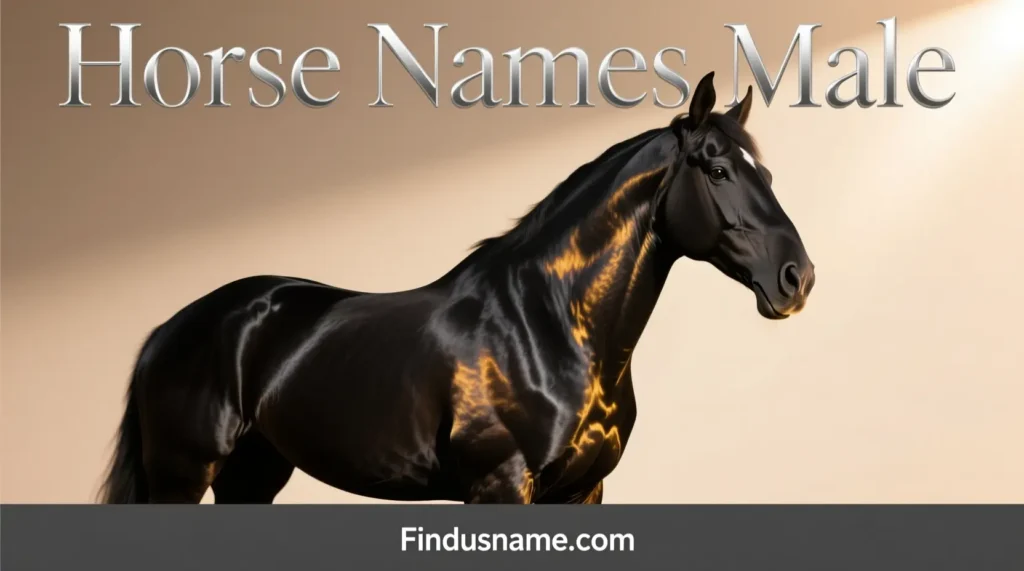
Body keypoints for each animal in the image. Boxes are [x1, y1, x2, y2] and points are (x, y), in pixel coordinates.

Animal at [98, 71, 815, 505]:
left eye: (766, 171)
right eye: (717, 169)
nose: (797, 276)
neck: (549, 328)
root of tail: (171, 329)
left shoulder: (582, 491)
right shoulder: (498, 487)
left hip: (253, 474)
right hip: (181, 475)